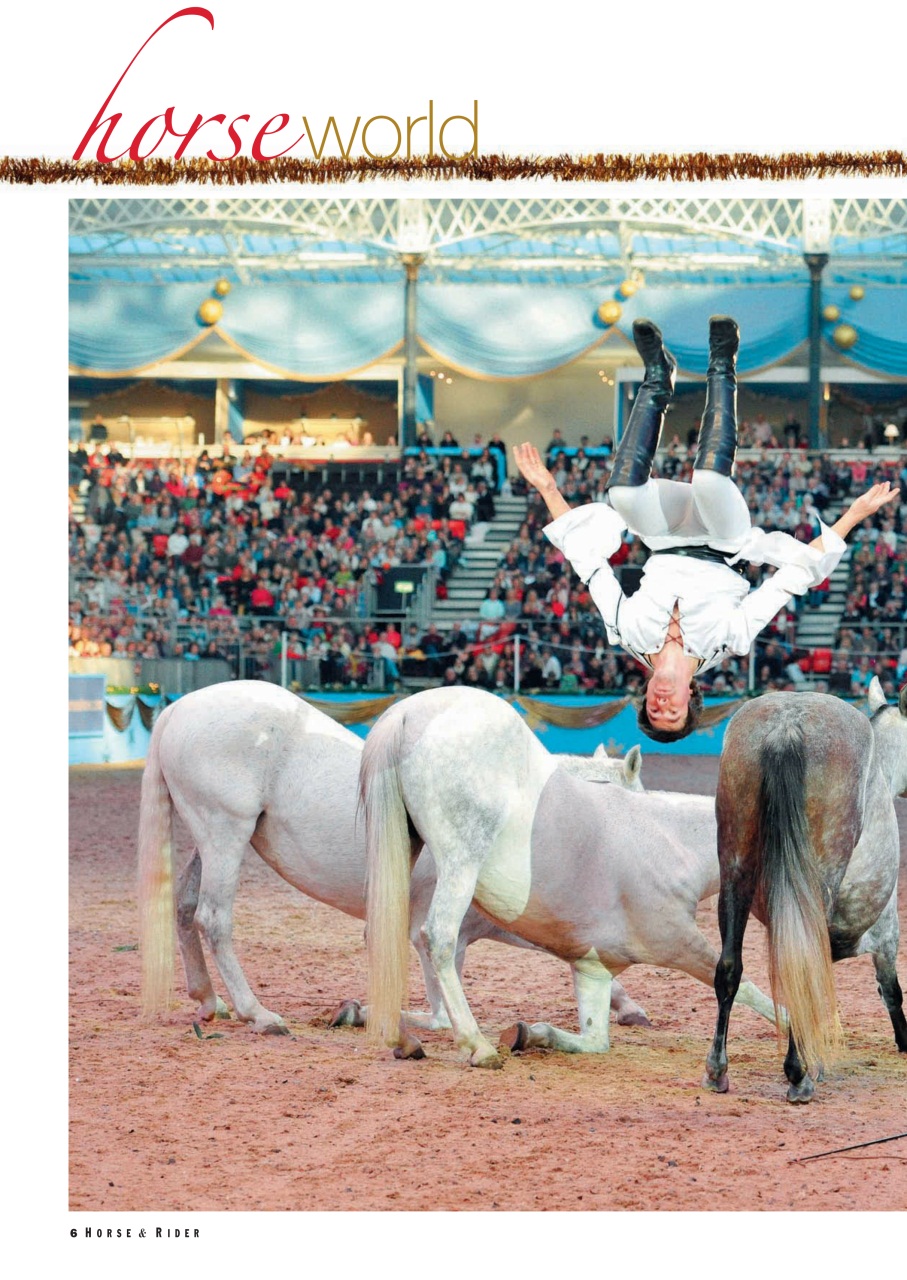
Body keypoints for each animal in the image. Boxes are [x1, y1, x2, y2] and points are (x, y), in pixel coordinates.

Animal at [137, 680, 650, 1037]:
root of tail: (177, 709)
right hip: (225, 835)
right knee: (212, 918)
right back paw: (257, 1013)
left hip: (210, 841)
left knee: (184, 907)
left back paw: (209, 1000)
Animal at [362, 684, 777, 1068]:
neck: (666, 841)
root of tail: (409, 713)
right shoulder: (678, 942)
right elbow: (750, 991)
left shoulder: (590, 962)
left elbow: (592, 1037)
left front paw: (533, 1034)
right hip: (460, 865)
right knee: (437, 938)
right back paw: (475, 1043)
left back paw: (398, 1034)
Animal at [703, 677, 907, 1103]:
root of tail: (788, 724)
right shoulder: (887, 932)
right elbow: (891, 991)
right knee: (803, 964)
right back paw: (799, 1075)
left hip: (734, 869)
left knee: (730, 967)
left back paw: (718, 1070)